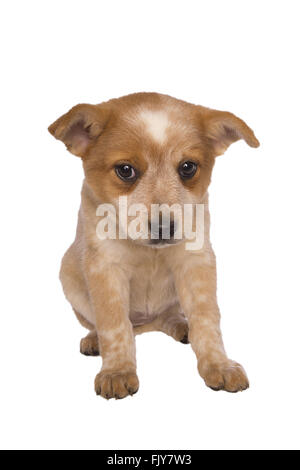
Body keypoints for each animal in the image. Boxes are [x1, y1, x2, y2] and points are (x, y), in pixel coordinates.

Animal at [48, 92, 258, 400]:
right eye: (125, 170)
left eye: (188, 167)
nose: (164, 227)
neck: (149, 252)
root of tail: (145, 324)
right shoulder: (106, 268)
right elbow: (113, 324)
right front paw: (117, 371)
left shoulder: (196, 262)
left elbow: (207, 320)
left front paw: (219, 365)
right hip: (68, 272)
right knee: (105, 324)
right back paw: (94, 340)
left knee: (168, 317)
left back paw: (181, 326)